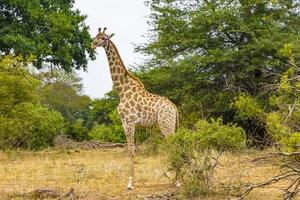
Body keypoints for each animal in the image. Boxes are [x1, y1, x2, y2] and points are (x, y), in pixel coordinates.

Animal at [91, 27, 178, 189]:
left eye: (104, 38)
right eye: (95, 36)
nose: (93, 44)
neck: (122, 90)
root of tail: (174, 107)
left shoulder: (129, 122)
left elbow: (131, 150)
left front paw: (130, 183)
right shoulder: (127, 123)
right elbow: (131, 150)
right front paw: (133, 181)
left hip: (166, 125)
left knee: (175, 145)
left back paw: (177, 181)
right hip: (170, 125)